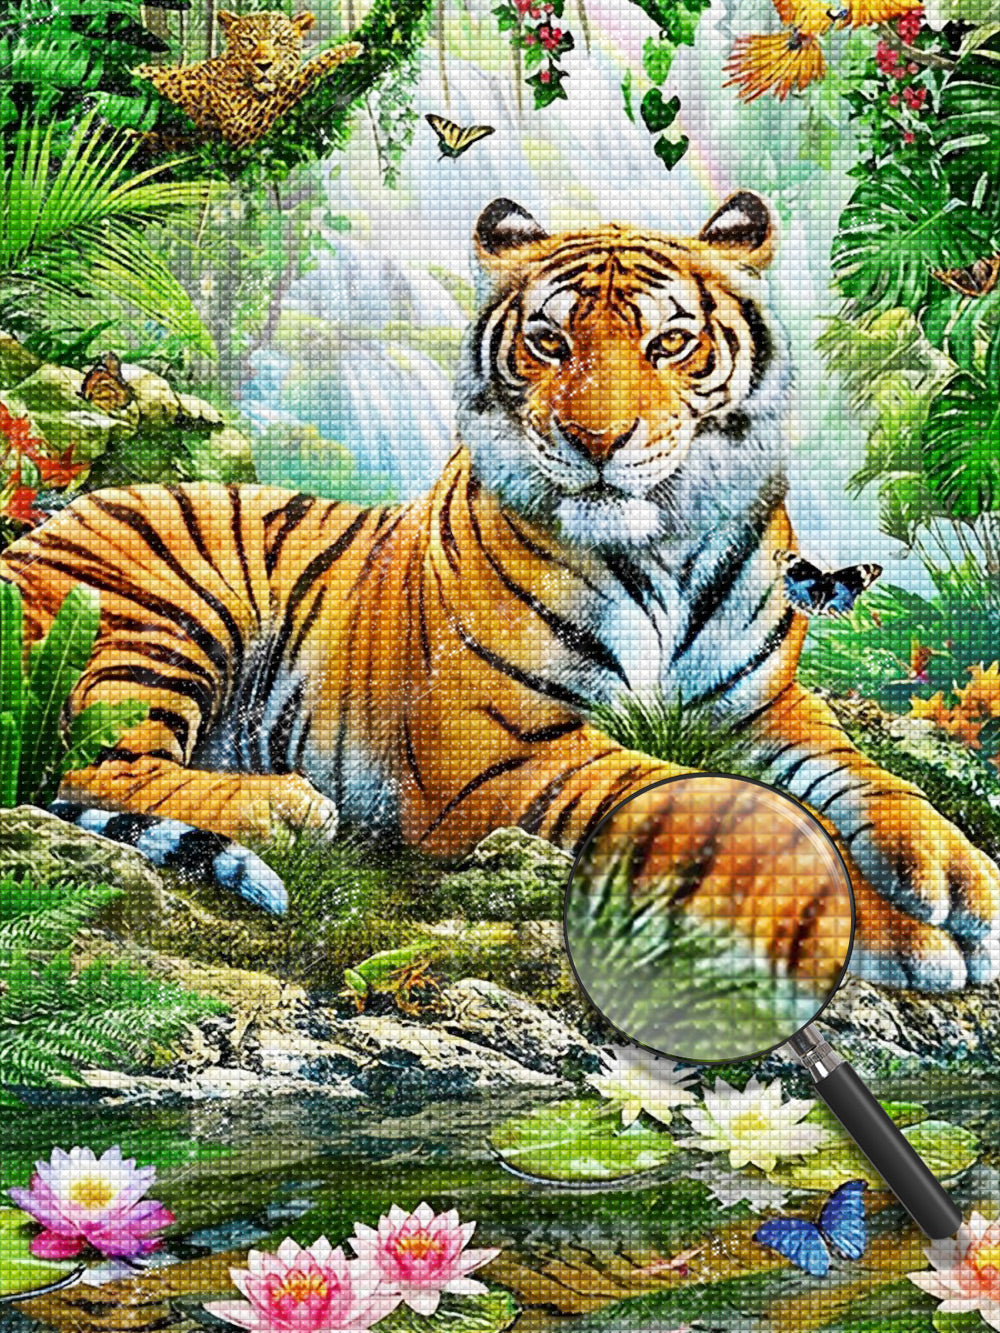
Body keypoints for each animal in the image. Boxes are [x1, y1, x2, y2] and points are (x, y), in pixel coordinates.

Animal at [2, 192, 997, 991]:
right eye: (549, 342)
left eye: (670, 342)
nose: (598, 442)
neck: (664, 547)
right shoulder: (499, 745)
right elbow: (708, 810)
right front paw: (887, 928)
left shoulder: (763, 706)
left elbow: (864, 776)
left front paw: (959, 875)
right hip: (161, 613)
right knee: (89, 765)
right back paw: (282, 805)